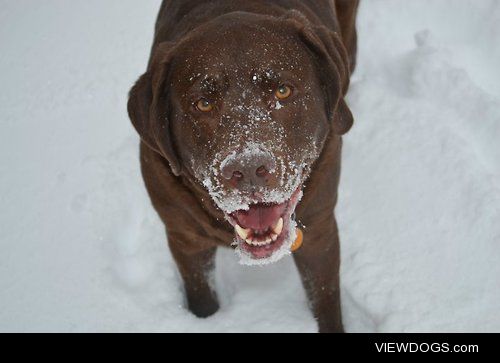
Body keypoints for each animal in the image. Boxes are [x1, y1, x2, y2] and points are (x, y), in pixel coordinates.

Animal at [127, 0, 358, 334]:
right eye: (203, 103)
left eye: (283, 91)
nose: (248, 169)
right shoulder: (183, 236)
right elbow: (201, 296)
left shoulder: (319, 227)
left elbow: (326, 299)